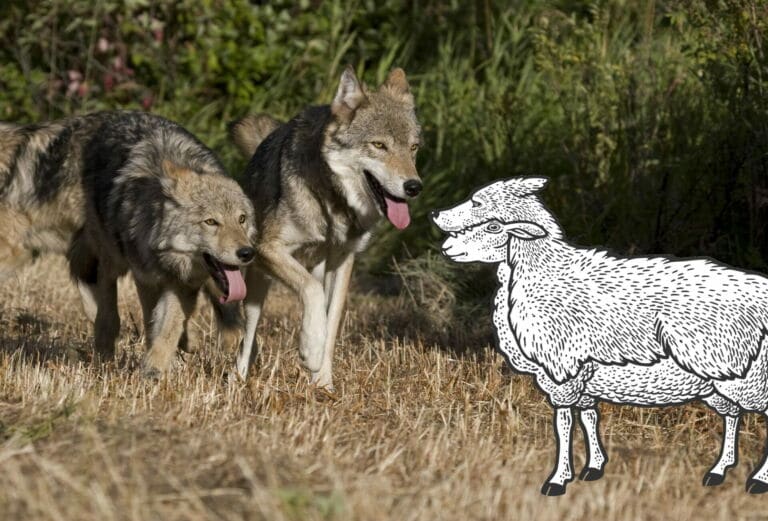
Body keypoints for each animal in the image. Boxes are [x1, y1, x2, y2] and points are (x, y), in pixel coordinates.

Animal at [430, 176, 768, 496]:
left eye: (492, 224)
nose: (436, 217)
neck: (540, 273)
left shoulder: (563, 370)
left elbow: (563, 424)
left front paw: (558, 479)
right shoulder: (584, 376)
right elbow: (589, 418)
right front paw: (594, 467)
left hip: (745, 373)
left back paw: (757, 481)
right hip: (719, 383)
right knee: (732, 414)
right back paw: (718, 471)